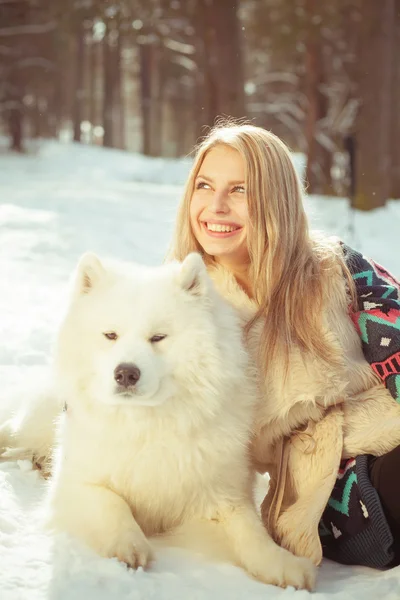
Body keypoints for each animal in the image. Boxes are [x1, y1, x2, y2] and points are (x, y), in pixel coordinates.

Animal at [2, 253, 316, 592]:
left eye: (158, 338)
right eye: (110, 335)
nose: (126, 372)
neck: (147, 425)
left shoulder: (219, 496)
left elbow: (250, 532)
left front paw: (285, 565)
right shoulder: (77, 485)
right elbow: (112, 504)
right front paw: (129, 546)